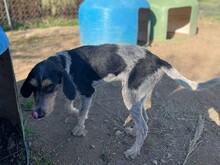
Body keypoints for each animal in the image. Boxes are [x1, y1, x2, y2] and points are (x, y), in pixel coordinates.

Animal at [20, 43, 220, 159]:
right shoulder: (77, 91)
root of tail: (158, 60)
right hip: (138, 97)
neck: (64, 63)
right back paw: (133, 132)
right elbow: (70, 105)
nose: (38, 113)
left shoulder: (88, 91)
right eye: (33, 88)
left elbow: (81, 112)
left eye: (50, 87)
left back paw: (133, 151)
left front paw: (78, 129)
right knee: (145, 121)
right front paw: (76, 113)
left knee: (144, 126)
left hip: (128, 96)